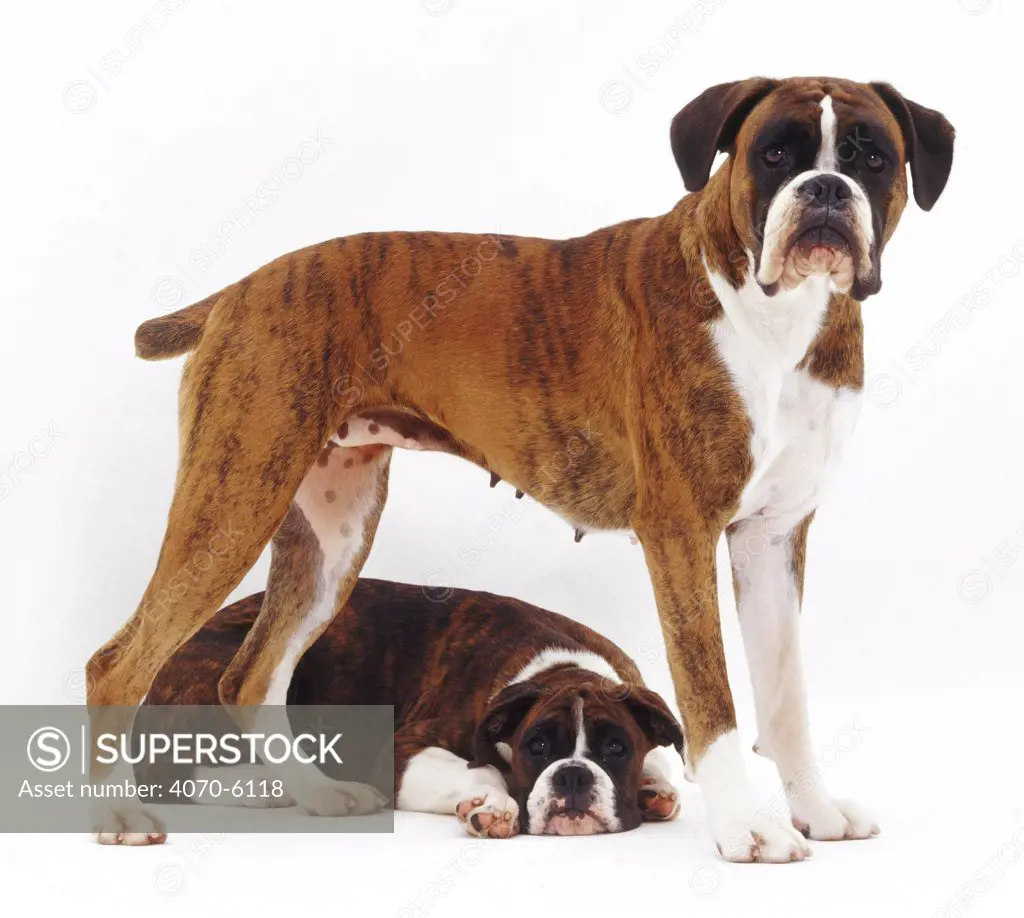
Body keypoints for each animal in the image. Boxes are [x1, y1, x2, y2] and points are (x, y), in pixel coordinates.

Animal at [140, 581, 684, 840]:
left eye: (616, 748)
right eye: (537, 746)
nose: (573, 775)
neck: (562, 668)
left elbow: (663, 760)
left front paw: (655, 787)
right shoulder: (402, 753)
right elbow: (484, 769)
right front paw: (492, 804)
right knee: (175, 771)